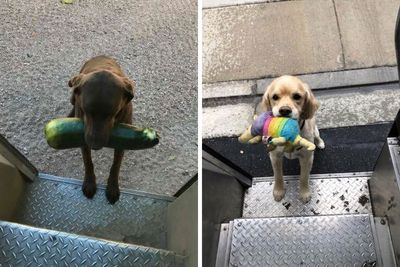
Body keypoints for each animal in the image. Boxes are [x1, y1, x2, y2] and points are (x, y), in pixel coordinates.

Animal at [68, 55, 135, 204]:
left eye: (112, 113)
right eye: (86, 110)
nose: (95, 146)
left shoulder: (123, 142)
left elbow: (116, 165)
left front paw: (112, 187)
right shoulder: (83, 139)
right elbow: (88, 161)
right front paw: (89, 183)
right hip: (73, 92)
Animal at [262, 75, 324, 203]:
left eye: (297, 96)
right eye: (275, 97)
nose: (284, 110)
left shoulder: (307, 158)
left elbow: (304, 177)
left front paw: (304, 193)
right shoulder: (274, 157)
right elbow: (278, 176)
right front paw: (278, 191)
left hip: (315, 129)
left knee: (318, 136)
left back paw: (320, 143)